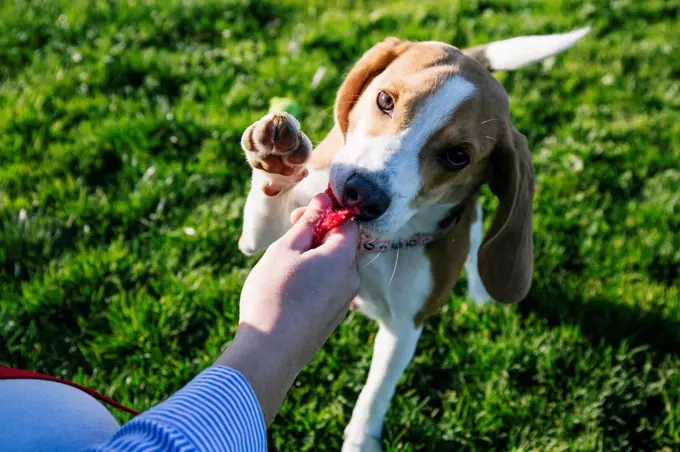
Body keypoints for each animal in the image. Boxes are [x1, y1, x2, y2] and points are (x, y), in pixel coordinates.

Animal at [239, 27, 588, 448]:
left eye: (457, 156)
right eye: (385, 100)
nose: (362, 193)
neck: (377, 242)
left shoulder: (405, 327)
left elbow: (376, 393)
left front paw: (360, 441)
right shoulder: (273, 229)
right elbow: (263, 217)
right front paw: (275, 160)